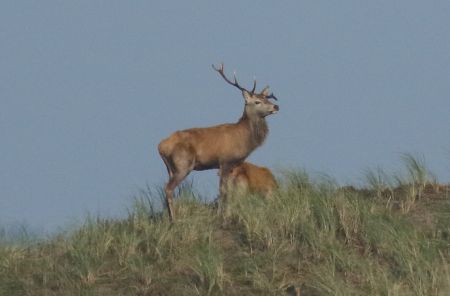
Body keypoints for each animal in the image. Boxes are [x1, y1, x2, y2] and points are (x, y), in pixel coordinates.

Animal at [157, 63, 278, 220]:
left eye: (267, 98)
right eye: (257, 101)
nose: (276, 106)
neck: (244, 140)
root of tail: (161, 146)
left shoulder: (233, 165)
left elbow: (229, 192)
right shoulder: (225, 161)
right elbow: (223, 191)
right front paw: (222, 216)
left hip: (170, 168)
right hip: (183, 164)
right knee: (168, 189)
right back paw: (174, 220)